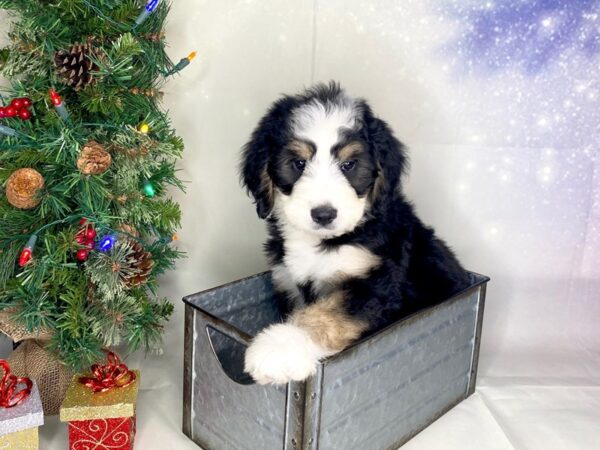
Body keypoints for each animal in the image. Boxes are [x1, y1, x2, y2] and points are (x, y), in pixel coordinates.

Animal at [239, 82, 468, 384]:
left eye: (349, 165)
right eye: (299, 163)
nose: (324, 214)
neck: (326, 241)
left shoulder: (377, 282)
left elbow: (327, 313)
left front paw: (280, 347)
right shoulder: (287, 278)